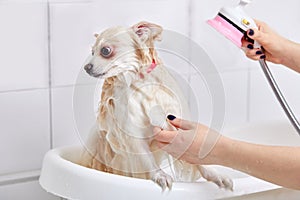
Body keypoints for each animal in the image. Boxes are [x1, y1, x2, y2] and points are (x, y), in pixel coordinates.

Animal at [79, 20, 232, 191]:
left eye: (105, 51)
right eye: (92, 52)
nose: (86, 67)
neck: (138, 83)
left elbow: (194, 156)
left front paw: (215, 175)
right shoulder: (133, 134)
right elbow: (147, 159)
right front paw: (160, 175)